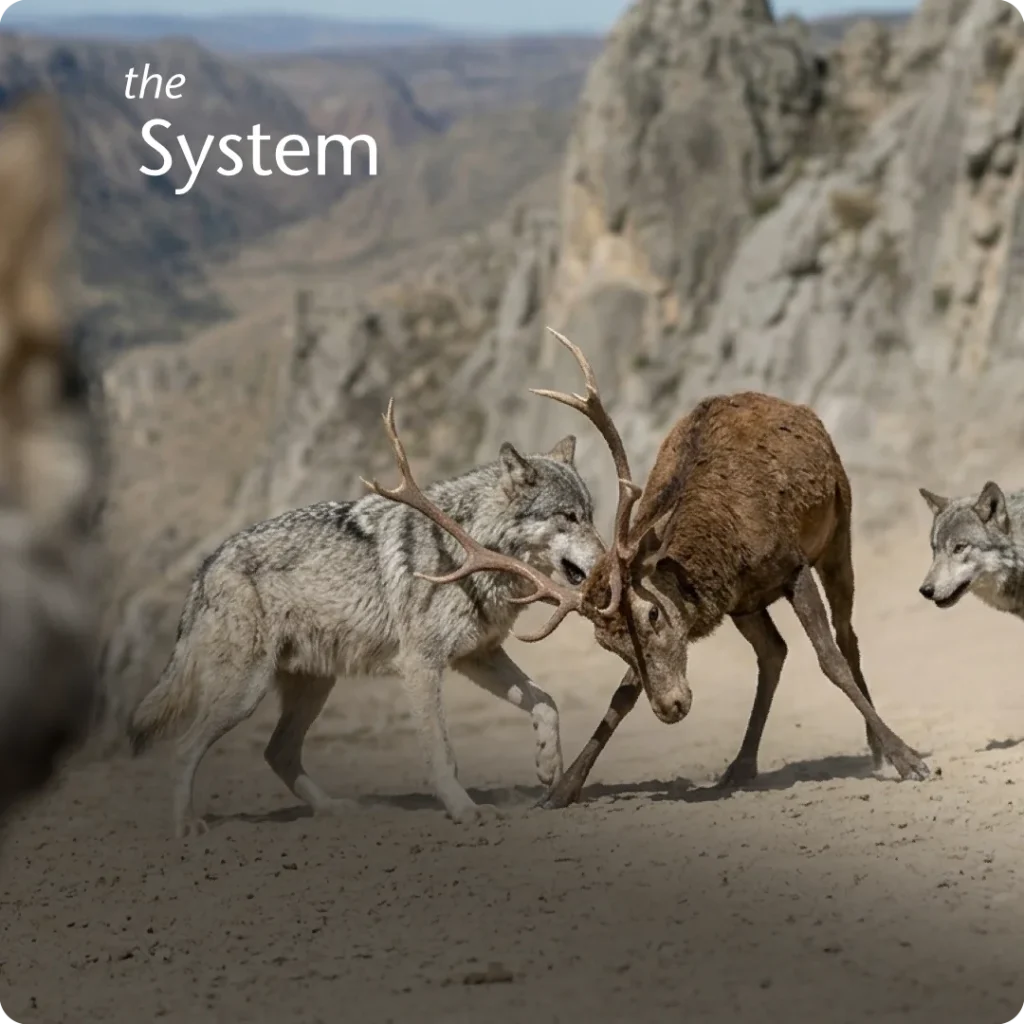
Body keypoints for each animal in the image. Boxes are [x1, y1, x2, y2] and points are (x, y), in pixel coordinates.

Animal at [127, 433, 606, 837]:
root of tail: (206, 565)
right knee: (186, 746)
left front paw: (549, 767)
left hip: (313, 688)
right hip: (245, 693)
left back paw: (334, 809)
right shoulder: (421, 666)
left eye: (591, 516)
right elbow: (442, 753)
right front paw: (464, 809)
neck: (472, 548)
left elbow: (547, 703)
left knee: (277, 752)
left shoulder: (477, 657)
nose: (608, 566)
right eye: (568, 517)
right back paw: (186, 825)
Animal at [364, 328, 930, 808]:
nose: (672, 708)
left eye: (653, 615)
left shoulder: (790, 565)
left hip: (840, 529)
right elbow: (621, 696)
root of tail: (798, 409)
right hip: (747, 604)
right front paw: (561, 789)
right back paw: (740, 766)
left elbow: (829, 661)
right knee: (773, 652)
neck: (720, 545)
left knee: (846, 636)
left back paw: (876, 751)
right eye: (607, 642)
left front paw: (908, 758)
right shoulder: (725, 595)